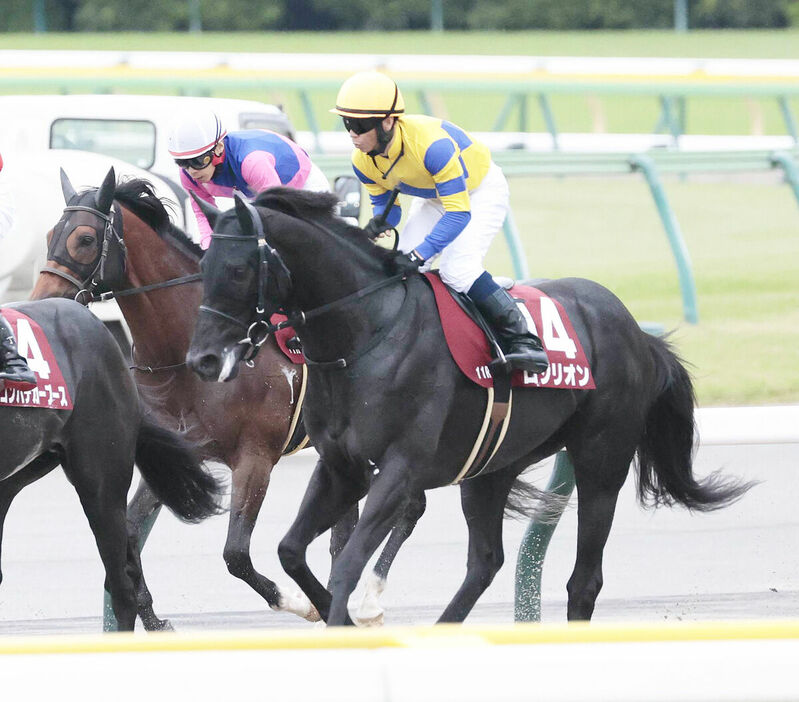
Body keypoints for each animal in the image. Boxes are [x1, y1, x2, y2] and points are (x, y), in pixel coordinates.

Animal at [32, 169, 422, 628]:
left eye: (86, 238)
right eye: (50, 234)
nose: (41, 302)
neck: (185, 359)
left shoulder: (255, 458)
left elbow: (235, 554)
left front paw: (304, 603)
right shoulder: (179, 453)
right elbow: (128, 529)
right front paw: (153, 619)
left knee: (409, 508)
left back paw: (366, 602)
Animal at [184, 188, 752, 628]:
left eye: (239, 269)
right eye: (203, 266)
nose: (201, 359)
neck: (365, 332)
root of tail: (636, 331)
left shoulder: (399, 467)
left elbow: (347, 564)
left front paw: (348, 614)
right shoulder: (342, 467)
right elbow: (291, 550)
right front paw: (324, 610)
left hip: (601, 461)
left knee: (584, 580)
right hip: (490, 467)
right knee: (485, 560)